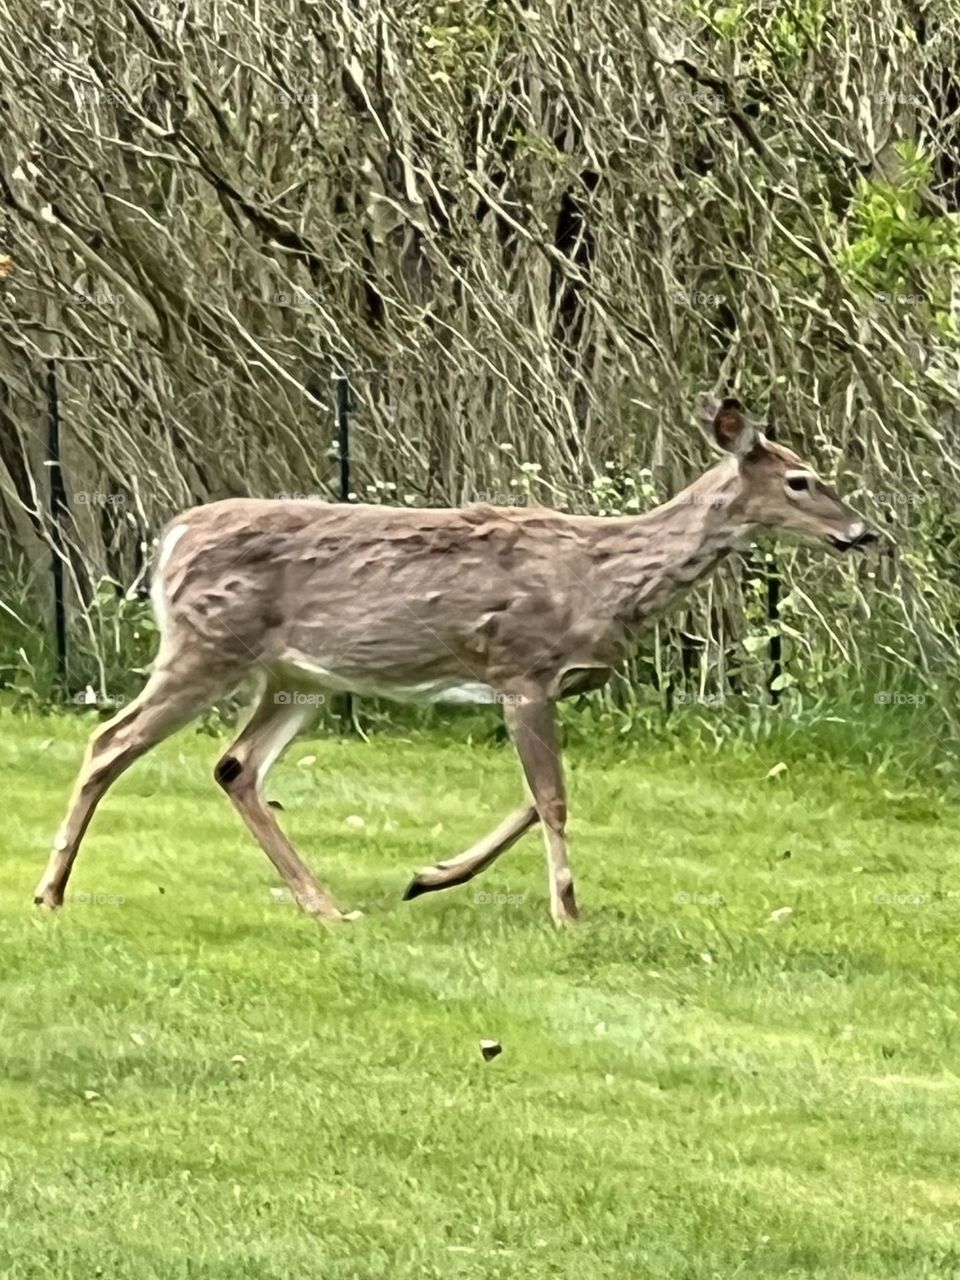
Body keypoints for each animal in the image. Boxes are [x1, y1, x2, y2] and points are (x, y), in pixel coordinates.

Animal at [35, 395, 878, 925]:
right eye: (801, 480)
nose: (863, 532)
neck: (603, 577)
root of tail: (170, 539)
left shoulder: (548, 686)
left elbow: (536, 798)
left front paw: (429, 876)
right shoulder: (523, 668)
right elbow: (555, 798)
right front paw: (568, 912)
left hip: (295, 678)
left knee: (235, 766)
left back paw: (323, 903)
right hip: (207, 645)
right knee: (110, 740)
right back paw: (50, 892)